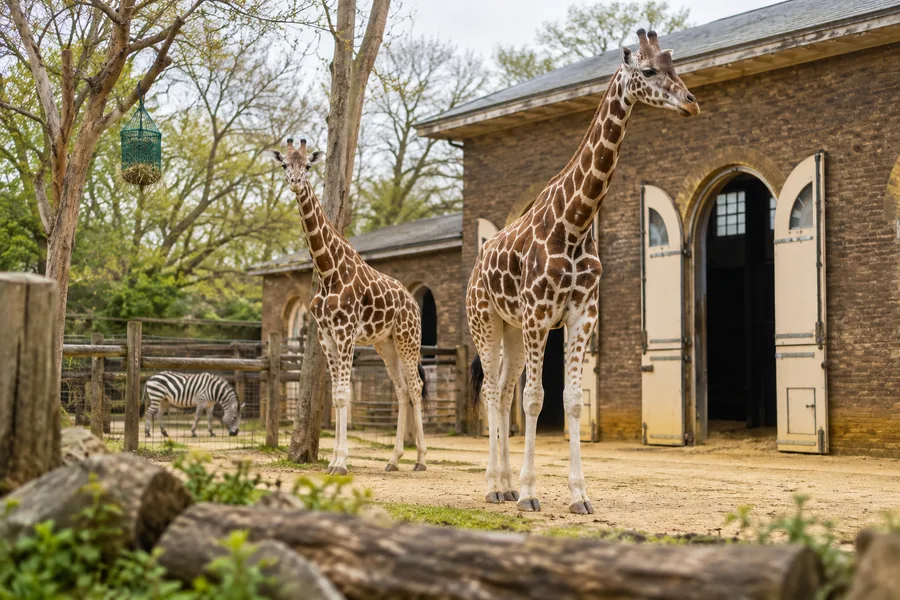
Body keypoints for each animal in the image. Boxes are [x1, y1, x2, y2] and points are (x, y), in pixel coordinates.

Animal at [272, 138, 428, 475]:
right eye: (285, 164)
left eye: (308, 165)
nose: (295, 182)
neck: (327, 270)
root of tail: (412, 301)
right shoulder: (326, 337)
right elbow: (335, 397)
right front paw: (332, 460)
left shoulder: (345, 334)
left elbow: (344, 396)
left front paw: (341, 462)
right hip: (385, 343)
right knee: (401, 389)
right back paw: (393, 459)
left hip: (408, 340)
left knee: (416, 385)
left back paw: (421, 459)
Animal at [467, 30, 700, 513]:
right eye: (648, 70)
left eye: (675, 65)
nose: (691, 103)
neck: (575, 221)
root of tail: (477, 264)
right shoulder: (539, 315)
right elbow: (535, 399)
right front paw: (530, 494)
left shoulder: (580, 315)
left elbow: (573, 401)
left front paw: (579, 495)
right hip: (486, 321)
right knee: (493, 392)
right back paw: (496, 486)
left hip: (513, 330)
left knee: (502, 391)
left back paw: (504, 485)